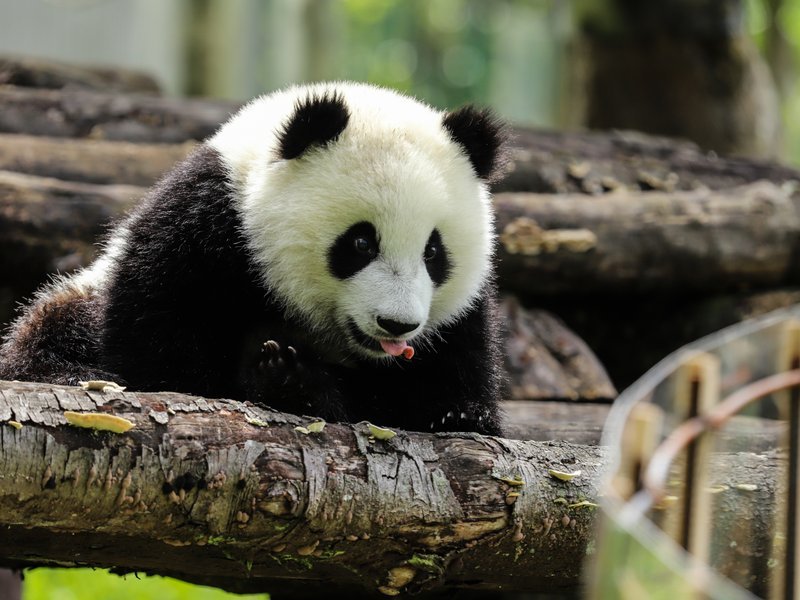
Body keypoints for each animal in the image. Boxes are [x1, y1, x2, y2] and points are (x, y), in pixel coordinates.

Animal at [0, 82, 507, 435]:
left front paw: (296, 382)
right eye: (361, 243)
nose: (397, 324)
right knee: (47, 336)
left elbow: (451, 405)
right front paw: (284, 376)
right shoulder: (199, 233)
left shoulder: (461, 327)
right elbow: (165, 363)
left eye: (433, 251)